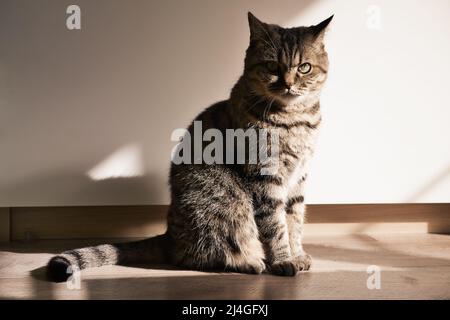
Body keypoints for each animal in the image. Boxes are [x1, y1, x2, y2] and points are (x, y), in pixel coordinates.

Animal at [47, 11, 332, 282]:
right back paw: (247, 262)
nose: (289, 84)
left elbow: (294, 220)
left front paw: (297, 254)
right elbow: (276, 226)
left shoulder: (298, 179)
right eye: (272, 66)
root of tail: (168, 234)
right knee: (197, 255)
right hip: (225, 205)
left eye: (304, 67)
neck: (295, 119)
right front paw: (283, 260)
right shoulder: (266, 177)